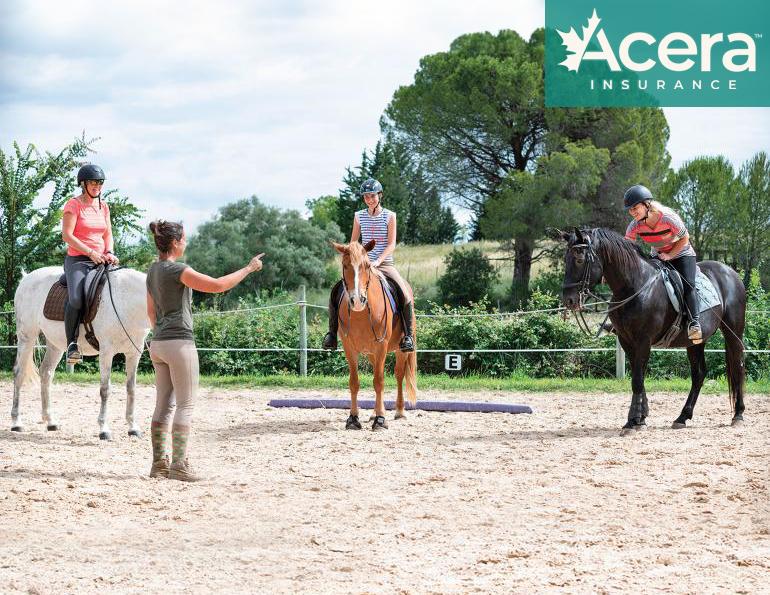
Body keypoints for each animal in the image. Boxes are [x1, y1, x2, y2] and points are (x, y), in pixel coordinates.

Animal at [12, 266, 150, 439]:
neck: (126, 300)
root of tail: (26, 278)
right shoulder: (106, 352)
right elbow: (105, 389)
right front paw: (104, 429)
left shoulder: (133, 353)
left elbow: (131, 388)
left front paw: (132, 427)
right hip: (26, 337)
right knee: (19, 374)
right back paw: (16, 422)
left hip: (55, 345)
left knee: (46, 373)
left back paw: (50, 422)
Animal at [332, 240, 417, 430]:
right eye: (345, 265)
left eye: (367, 266)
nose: (357, 301)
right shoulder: (349, 348)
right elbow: (354, 382)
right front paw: (353, 418)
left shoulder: (381, 346)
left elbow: (379, 381)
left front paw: (380, 420)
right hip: (371, 353)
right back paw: (374, 413)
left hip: (400, 349)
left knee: (398, 374)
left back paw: (399, 411)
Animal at [559, 227, 746, 434]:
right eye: (565, 259)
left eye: (579, 259)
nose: (569, 300)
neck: (635, 286)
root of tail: (731, 273)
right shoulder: (626, 341)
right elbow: (638, 378)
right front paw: (641, 418)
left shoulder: (643, 341)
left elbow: (637, 380)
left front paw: (632, 422)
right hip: (695, 342)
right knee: (699, 374)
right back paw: (682, 417)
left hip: (733, 333)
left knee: (738, 366)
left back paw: (738, 415)